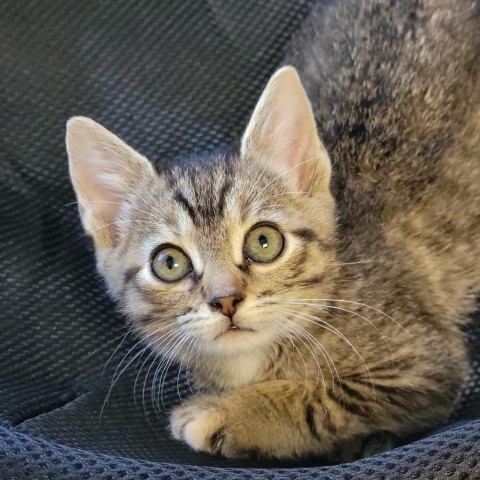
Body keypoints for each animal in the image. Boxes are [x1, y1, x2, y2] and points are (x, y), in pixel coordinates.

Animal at [66, 0, 480, 464]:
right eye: (169, 263)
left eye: (263, 242)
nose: (225, 300)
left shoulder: (426, 362)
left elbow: (326, 399)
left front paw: (227, 413)